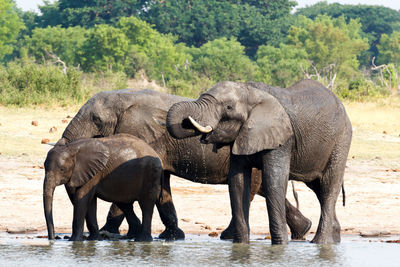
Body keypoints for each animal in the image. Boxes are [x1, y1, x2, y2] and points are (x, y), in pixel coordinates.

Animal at [61, 88, 310, 241]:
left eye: (96, 120)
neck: (125, 96)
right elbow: (161, 186)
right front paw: (172, 237)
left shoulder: (145, 136)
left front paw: (107, 234)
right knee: (264, 189)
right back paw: (303, 230)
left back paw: (229, 236)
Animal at [167, 80, 352, 245]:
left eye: (228, 107)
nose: (187, 121)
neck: (249, 91)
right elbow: (238, 182)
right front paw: (240, 245)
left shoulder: (281, 138)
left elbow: (273, 182)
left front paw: (280, 246)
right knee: (318, 188)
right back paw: (334, 240)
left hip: (341, 140)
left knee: (328, 187)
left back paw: (320, 243)